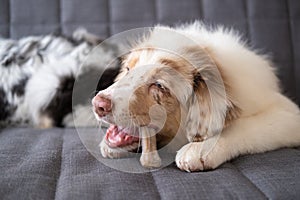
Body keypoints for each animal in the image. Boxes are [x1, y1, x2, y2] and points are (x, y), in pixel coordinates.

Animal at [92, 22, 300, 172]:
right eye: (128, 70)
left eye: (159, 85)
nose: (98, 104)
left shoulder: (288, 113)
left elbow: (243, 126)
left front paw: (198, 149)